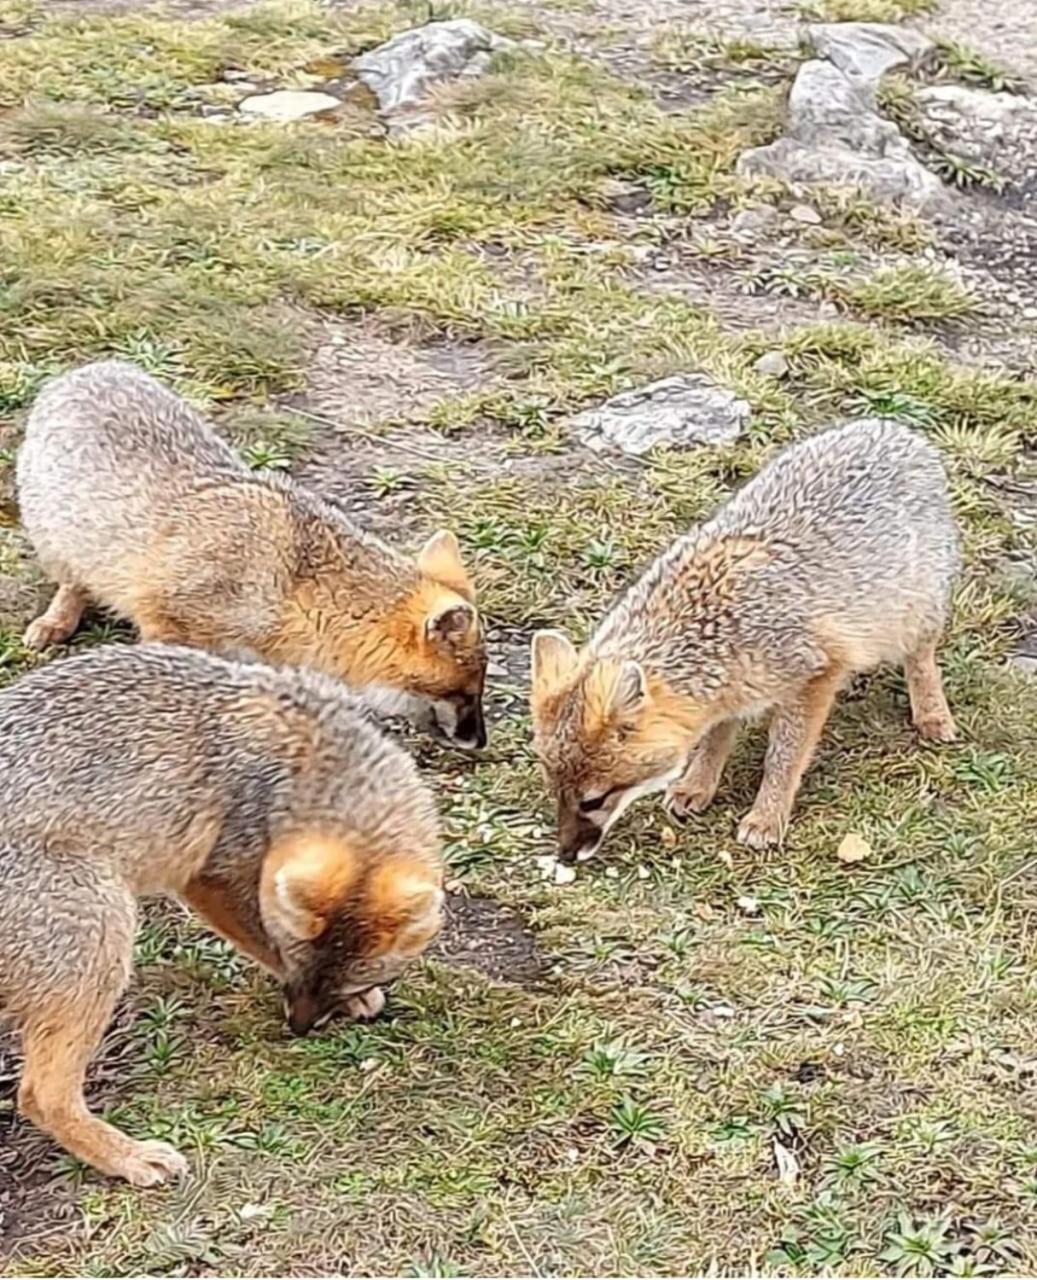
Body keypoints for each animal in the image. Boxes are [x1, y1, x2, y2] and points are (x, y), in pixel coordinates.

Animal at [0, 645, 440, 1182]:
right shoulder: (214, 875)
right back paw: (126, 1155)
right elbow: (257, 935)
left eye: (346, 980)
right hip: (101, 940)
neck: (313, 751)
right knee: (41, 1094)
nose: (298, 1028)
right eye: (296, 963)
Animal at [15, 360, 483, 747]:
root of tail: (83, 371)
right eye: (465, 692)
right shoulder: (166, 620)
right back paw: (54, 622)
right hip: (58, 543)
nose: (480, 743)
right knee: (72, 584)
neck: (292, 583)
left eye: (478, 687)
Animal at [530, 419, 957, 860]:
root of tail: (894, 428)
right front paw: (697, 784)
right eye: (554, 790)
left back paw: (932, 715)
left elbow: (783, 757)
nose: (565, 854)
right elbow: (714, 739)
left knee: (921, 660)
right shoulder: (729, 691)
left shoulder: (815, 674)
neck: (708, 626)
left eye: (594, 800)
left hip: (916, 615)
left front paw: (767, 817)